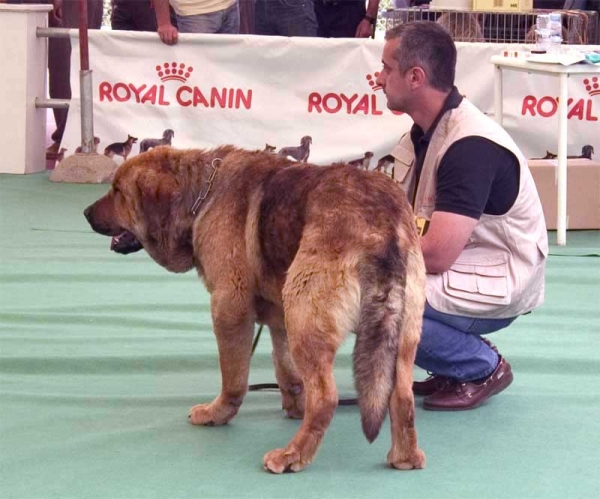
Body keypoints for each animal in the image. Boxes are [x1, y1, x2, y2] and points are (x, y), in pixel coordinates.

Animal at [83, 146, 426, 474]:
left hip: (305, 316)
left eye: (117, 191)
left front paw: (218, 413)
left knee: (326, 398)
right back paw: (405, 457)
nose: (85, 213)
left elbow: (234, 377)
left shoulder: (229, 308)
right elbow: (285, 368)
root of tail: (382, 227)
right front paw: (294, 406)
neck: (202, 196)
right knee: (402, 396)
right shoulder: (279, 317)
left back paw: (292, 455)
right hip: (396, 336)